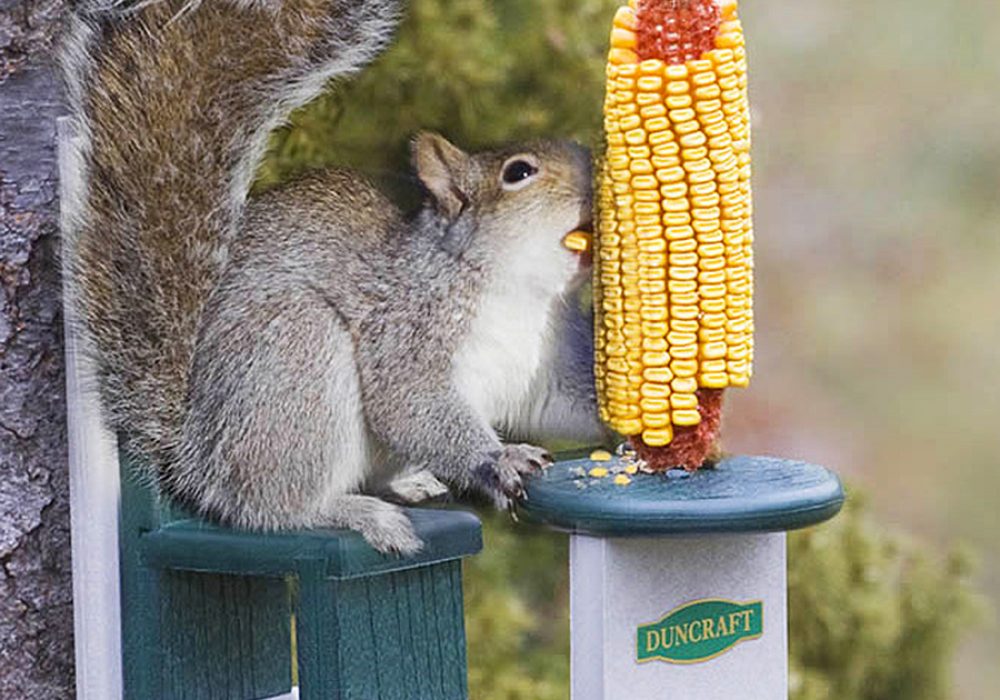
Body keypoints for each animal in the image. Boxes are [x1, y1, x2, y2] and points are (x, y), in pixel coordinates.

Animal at [61, 0, 606, 554]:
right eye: (518, 172)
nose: (597, 170)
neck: (522, 294)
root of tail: (194, 453)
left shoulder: (547, 366)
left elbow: (567, 403)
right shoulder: (406, 327)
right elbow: (410, 403)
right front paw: (499, 460)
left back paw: (408, 482)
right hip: (296, 363)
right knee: (269, 506)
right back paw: (355, 511)